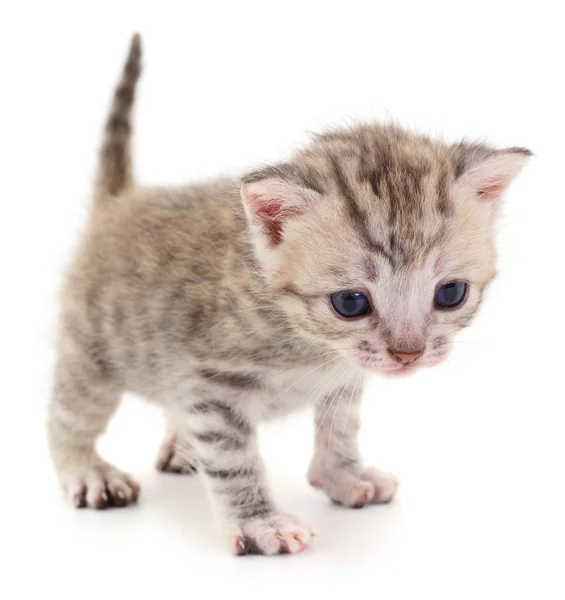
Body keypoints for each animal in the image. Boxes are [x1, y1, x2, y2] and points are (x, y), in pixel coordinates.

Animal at [47, 35, 528, 556]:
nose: (408, 354)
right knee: (67, 418)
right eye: (350, 303)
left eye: (451, 294)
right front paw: (259, 522)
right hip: (92, 356)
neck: (309, 342)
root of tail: (120, 202)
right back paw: (88, 469)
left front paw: (343, 475)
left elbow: (341, 426)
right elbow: (233, 461)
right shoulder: (210, 386)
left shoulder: (345, 374)